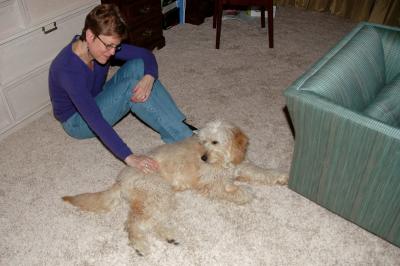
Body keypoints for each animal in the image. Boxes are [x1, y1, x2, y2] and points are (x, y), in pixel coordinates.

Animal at [63, 120, 288, 256]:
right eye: (203, 142)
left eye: (214, 142)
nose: (203, 158)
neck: (223, 161)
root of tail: (121, 178)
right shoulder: (210, 184)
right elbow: (232, 191)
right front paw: (245, 193)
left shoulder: (242, 166)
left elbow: (262, 171)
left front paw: (280, 176)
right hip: (157, 193)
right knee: (133, 223)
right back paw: (140, 245)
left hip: (160, 197)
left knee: (153, 222)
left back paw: (169, 237)